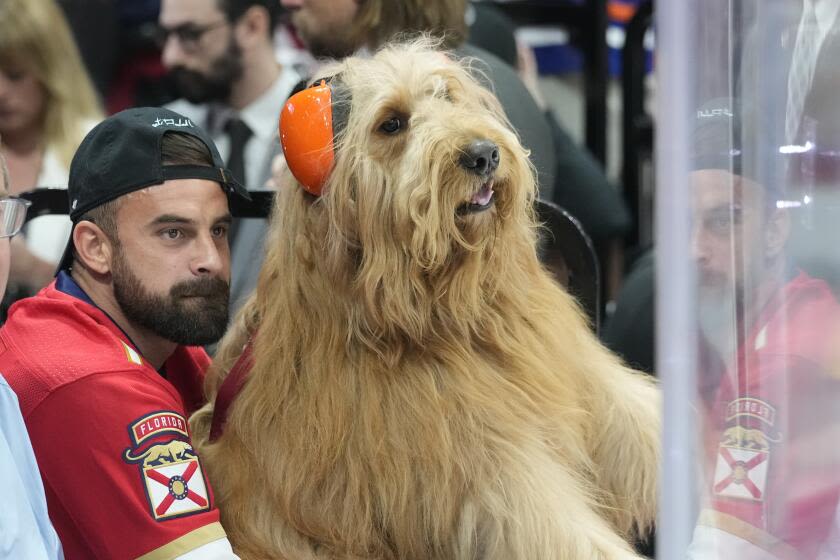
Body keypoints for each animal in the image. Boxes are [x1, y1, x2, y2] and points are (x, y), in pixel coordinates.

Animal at [192, 40, 664, 560]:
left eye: (448, 96)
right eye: (392, 124)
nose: (483, 154)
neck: (451, 317)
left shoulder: (576, 375)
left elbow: (641, 421)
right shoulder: (488, 465)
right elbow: (558, 530)